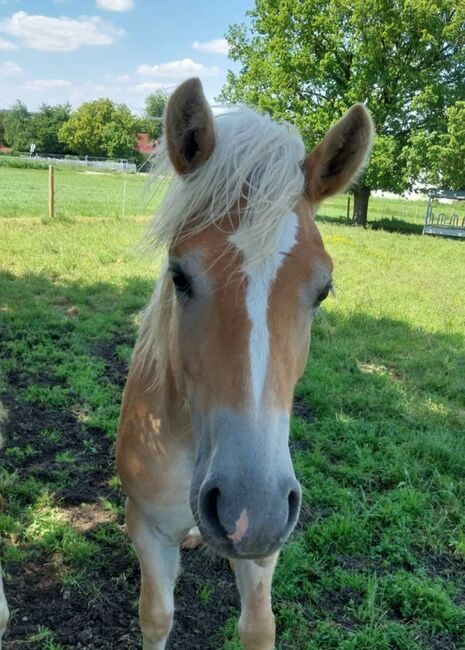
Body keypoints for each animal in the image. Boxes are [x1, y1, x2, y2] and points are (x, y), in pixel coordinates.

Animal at [117, 77, 374, 648]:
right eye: (179, 275)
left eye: (323, 290)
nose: (247, 511)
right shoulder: (148, 529)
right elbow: (156, 617)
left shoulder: (267, 542)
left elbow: (258, 626)